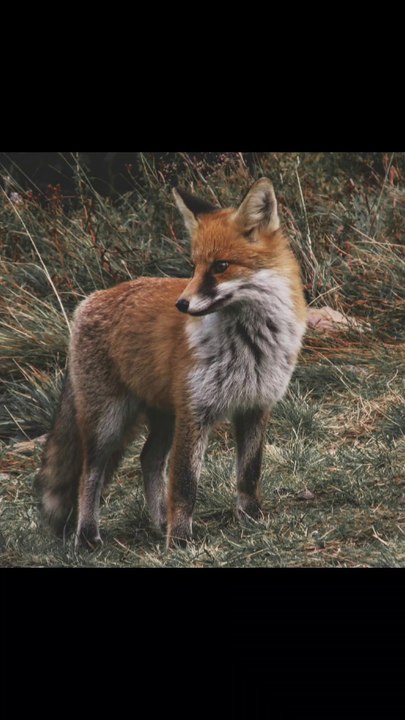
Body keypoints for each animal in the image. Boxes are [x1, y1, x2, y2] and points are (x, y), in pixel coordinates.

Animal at [35, 178, 307, 549]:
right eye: (194, 266)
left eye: (220, 266)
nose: (182, 304)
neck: (249, 345)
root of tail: (90, 300)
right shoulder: (195, 413)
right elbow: (184, 484)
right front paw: (179, 540)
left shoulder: (255, 406)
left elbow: (249, 473)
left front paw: (250, 518)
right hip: (108, 422)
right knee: (89, 474)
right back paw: (89, 535)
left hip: (164, 416)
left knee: (148, 458)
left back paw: (157, 522)